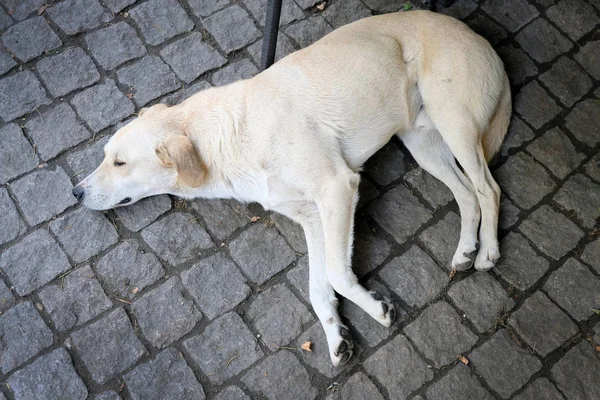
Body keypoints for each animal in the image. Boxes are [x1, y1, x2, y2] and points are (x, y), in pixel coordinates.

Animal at [72, 10, 508, 366]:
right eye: (106, 156)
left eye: (119, 162)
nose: (75, 192)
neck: (230, 137)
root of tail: (476, 35)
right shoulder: (313, 216)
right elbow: (318, 288)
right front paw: (335, 337)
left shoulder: (337, 188)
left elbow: (336, 273)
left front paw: (376, 309)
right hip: (423, 145)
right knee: (467, 195)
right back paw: (464, 250)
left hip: (454, 123)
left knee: (489, 189)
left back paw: (487, 252)